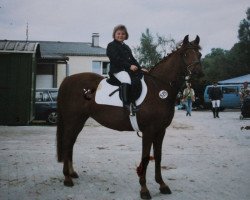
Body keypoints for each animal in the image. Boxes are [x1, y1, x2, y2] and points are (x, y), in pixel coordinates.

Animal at [57, 35, 203, 199]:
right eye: (185, 54)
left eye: (199, 55)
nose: (200, 75)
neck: (159, 89)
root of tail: (67, 80)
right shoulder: (149, 131)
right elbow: (145, 158)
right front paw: (144, 190)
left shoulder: (161, 131)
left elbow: (158, 156)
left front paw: (162, 185)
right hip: (73, 120)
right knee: (67, 142)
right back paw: (67, 178)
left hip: (79, 121)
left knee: (70, 143)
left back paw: (72, 173)